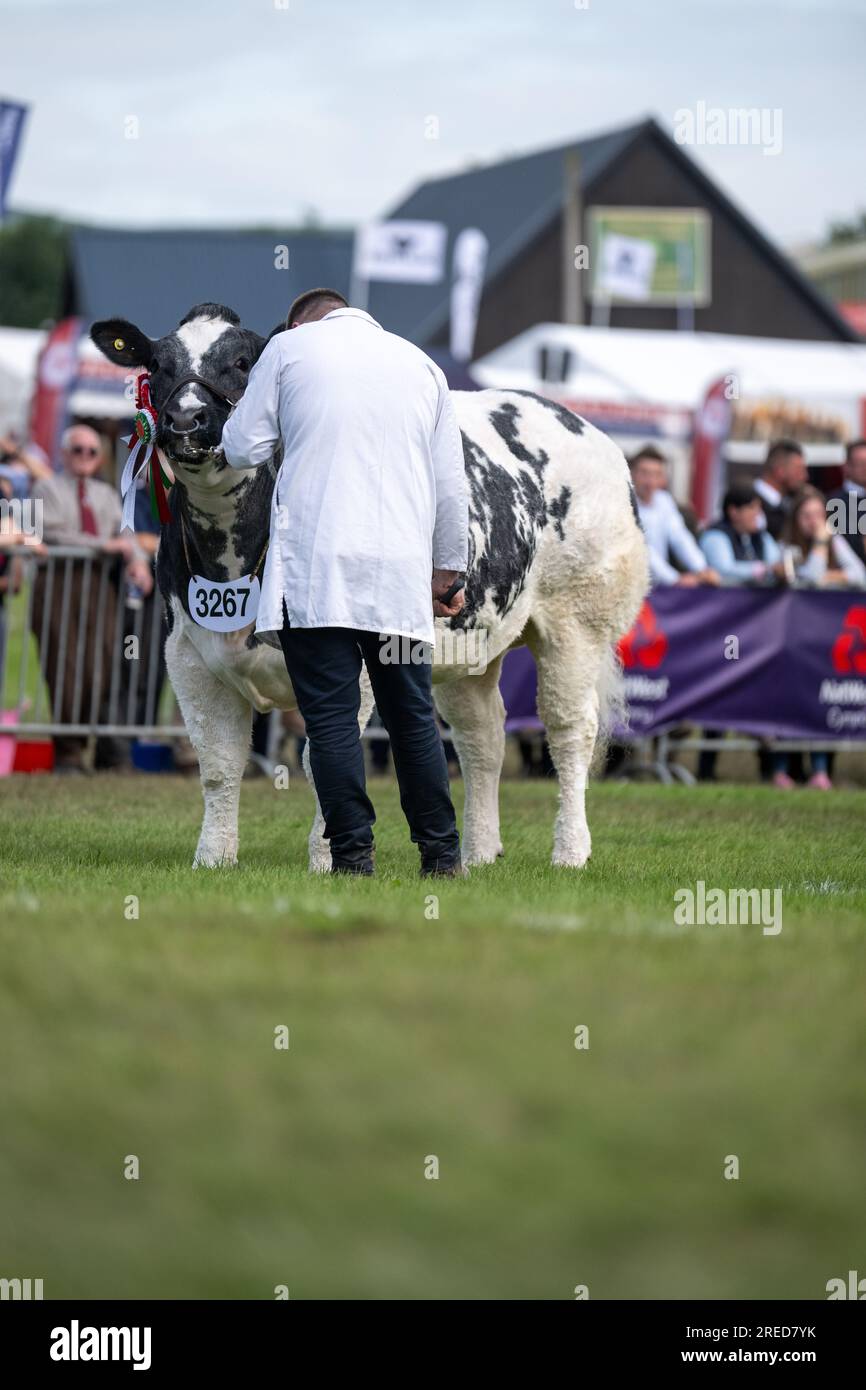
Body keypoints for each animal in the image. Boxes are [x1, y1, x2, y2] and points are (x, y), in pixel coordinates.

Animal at [93, 304, 650, 867]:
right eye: (157, 364)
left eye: (243, 361)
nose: (186, 420)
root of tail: (576, 422)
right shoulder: (187, 653)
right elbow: (219, 762)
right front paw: (212, 859)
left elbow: (322, 757)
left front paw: (325, 861)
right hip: (472, 641)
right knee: (483, 737)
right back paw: (478, 853)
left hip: (577, 620)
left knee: (569, 729)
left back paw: (570, 850)